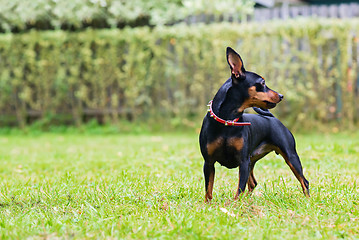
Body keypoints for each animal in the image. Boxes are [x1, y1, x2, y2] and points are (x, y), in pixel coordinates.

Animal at [198, 47, 310, 202]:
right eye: (262, 83)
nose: (281, 95)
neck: (228, 121)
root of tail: (273, 118)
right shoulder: (208, 162)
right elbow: (208, 189)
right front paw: (208, 205)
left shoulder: (243, 161)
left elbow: (239, 189)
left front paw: (235, 205)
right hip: (253, 160)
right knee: (252, 183)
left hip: (290, 156)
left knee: (304, 181)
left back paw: (308, 201)